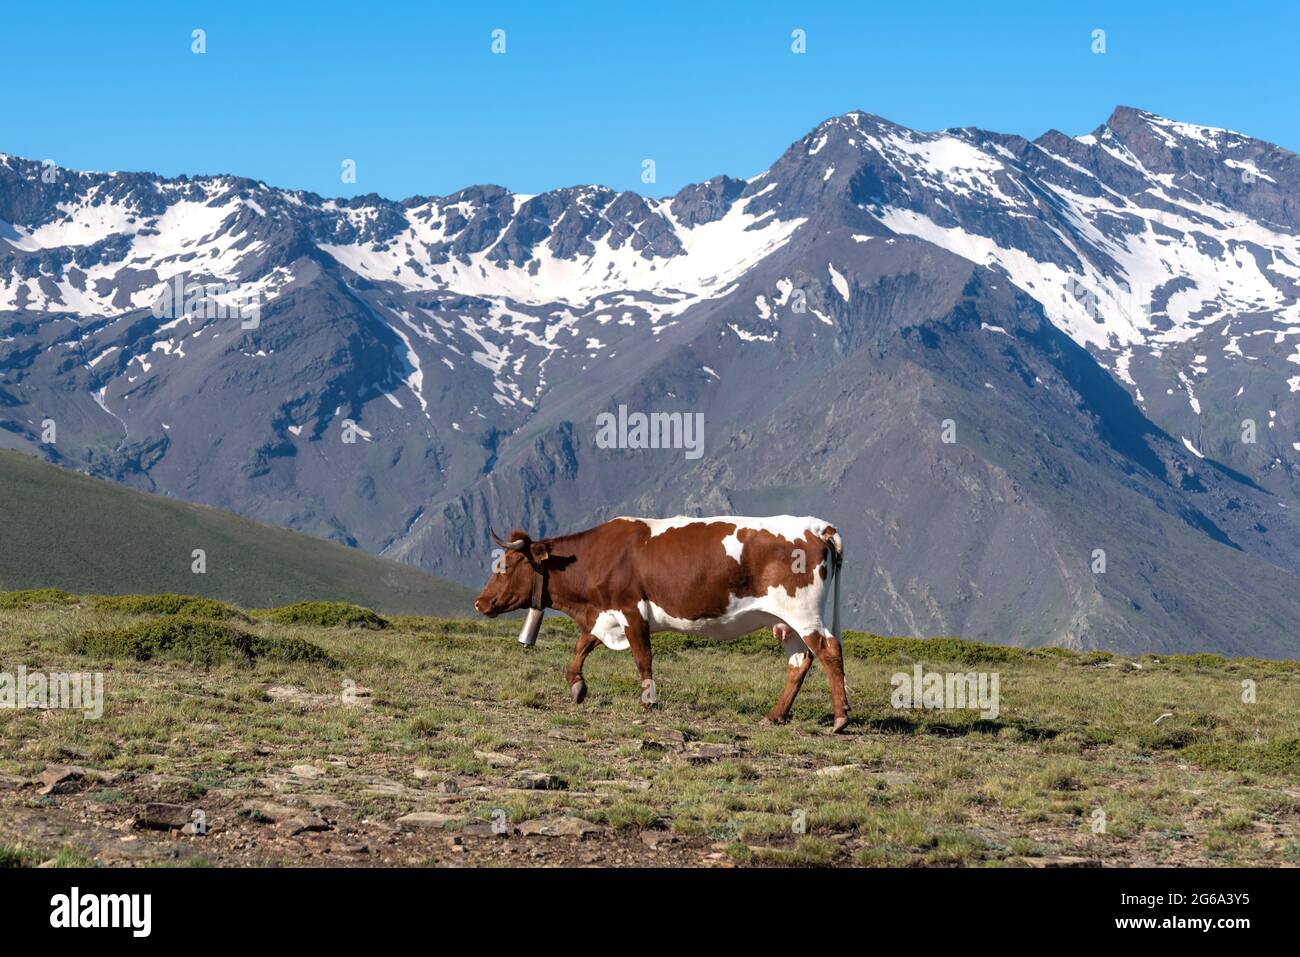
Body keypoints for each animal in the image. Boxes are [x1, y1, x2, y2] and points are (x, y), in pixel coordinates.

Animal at [470, 514, 852, 733]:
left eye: (505, 565)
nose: (479, 602)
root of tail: (819, 526)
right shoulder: (605, 613)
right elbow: (583, 643)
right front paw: (577, 686)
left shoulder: (630, 609)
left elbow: (642, 657)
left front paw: (647, 701)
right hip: (786, 621)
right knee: (799, 662)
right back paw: (775, 716)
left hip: (803, 613)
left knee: (829, 650)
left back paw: (840, 719)